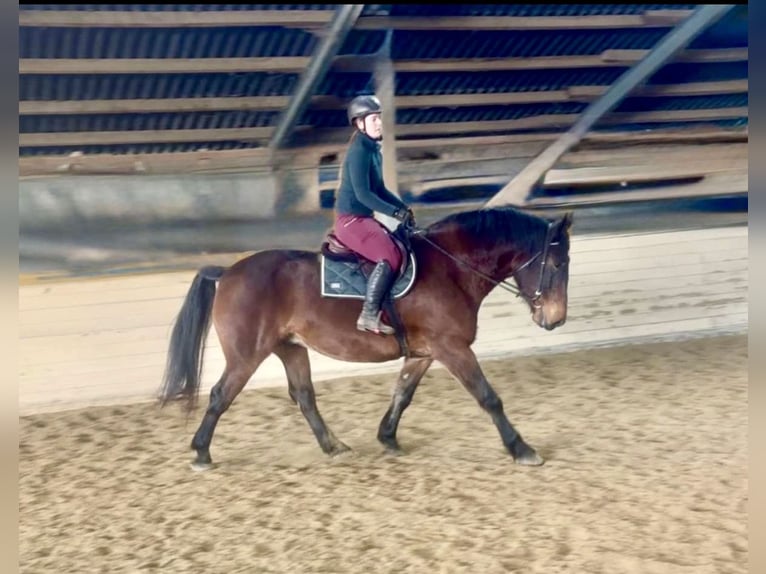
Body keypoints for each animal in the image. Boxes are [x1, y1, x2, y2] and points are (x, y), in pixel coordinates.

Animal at [158, 206, 573, 470]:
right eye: (556, 264)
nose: (555, 319)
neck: (451, 268)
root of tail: (228, 272)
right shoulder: (452, 348)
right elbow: (489, 398)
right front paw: (522, 449)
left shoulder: (425, 352)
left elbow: (402, 394)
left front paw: (388, 437)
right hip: (246, 355)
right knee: (220, 395)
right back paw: (201, 453)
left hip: (290, 349)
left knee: (304, 397)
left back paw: (335, 446)